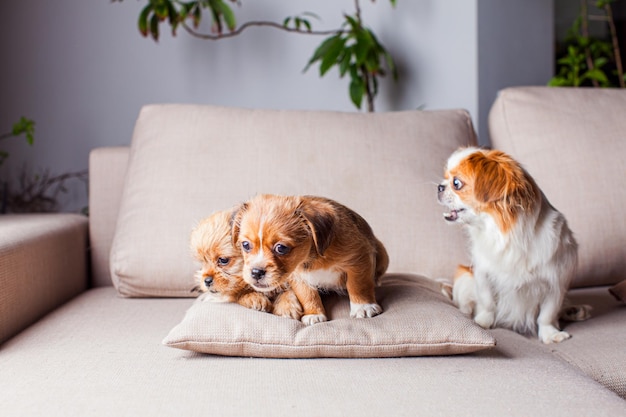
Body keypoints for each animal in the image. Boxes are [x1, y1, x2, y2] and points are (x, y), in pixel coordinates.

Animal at [230, 193, 386, 324]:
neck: (313, 257)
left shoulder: (359, 258)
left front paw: (363, 307)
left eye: (281, 248)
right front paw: (314, 314)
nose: (256, 272)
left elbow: (358, 285)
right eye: (245, 245)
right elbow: (307, 295)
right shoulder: (298, 276)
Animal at [436, 148, 576, 342]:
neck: (504, 235)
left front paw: (550, 334)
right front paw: (482, 322)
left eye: (456, 183)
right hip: (464, 277)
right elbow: (487, 302)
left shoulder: (555, 282)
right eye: (446, 178)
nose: (439, 187)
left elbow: (547, 314)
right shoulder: (483, 274)